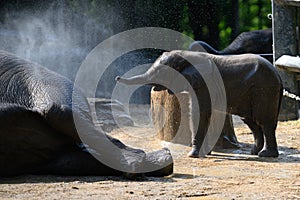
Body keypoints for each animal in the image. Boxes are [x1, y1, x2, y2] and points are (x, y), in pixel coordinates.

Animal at [116, 50, 282, 158]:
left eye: (160, 74)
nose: (117, 77)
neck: (186, 56)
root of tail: (278, 74)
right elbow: (204, 115)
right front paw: (205, 153)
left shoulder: (202, 83)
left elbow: (199, 113)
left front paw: (193, 155)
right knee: (251, 122)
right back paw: (254, 152)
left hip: (264, 89)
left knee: (264, 121)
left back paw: (266, 155)